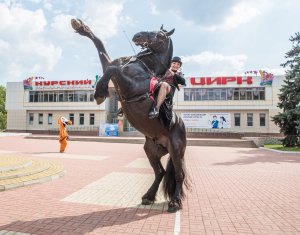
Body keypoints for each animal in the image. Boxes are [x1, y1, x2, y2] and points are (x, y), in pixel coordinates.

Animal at [71, 18, 190, 213]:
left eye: (161, 35)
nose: (138, 35)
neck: (145, 66)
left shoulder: (128, 84)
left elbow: (113, 69)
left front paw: (99, 93)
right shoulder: (112, 69)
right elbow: (102, 50)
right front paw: (81, 27)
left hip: (176, 150)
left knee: (179, 175)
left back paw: (174, 202)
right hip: (152, 150)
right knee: (160, 172)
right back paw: (148, 196)